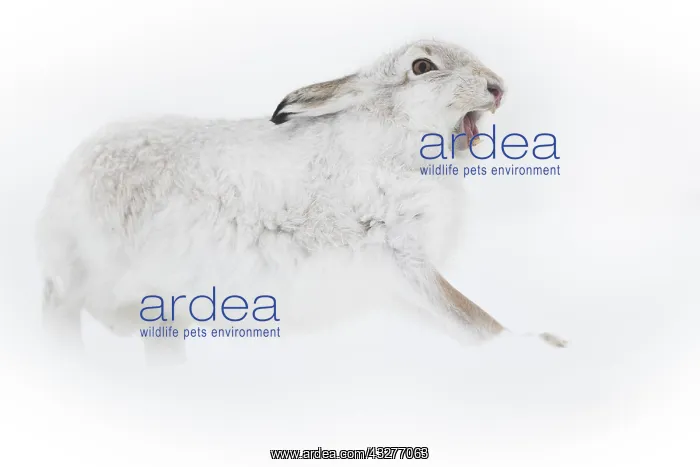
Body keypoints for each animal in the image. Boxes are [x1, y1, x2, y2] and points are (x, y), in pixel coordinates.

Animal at [36, 39, 567, 364]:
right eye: (422, 67)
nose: (498, 89)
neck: (393, 145)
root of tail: (64, 182)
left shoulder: (390, 283)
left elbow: (454, 323)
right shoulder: (398, 255)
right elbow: (468, 313)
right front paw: (542, 345)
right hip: (97, 267)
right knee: (61, 305)